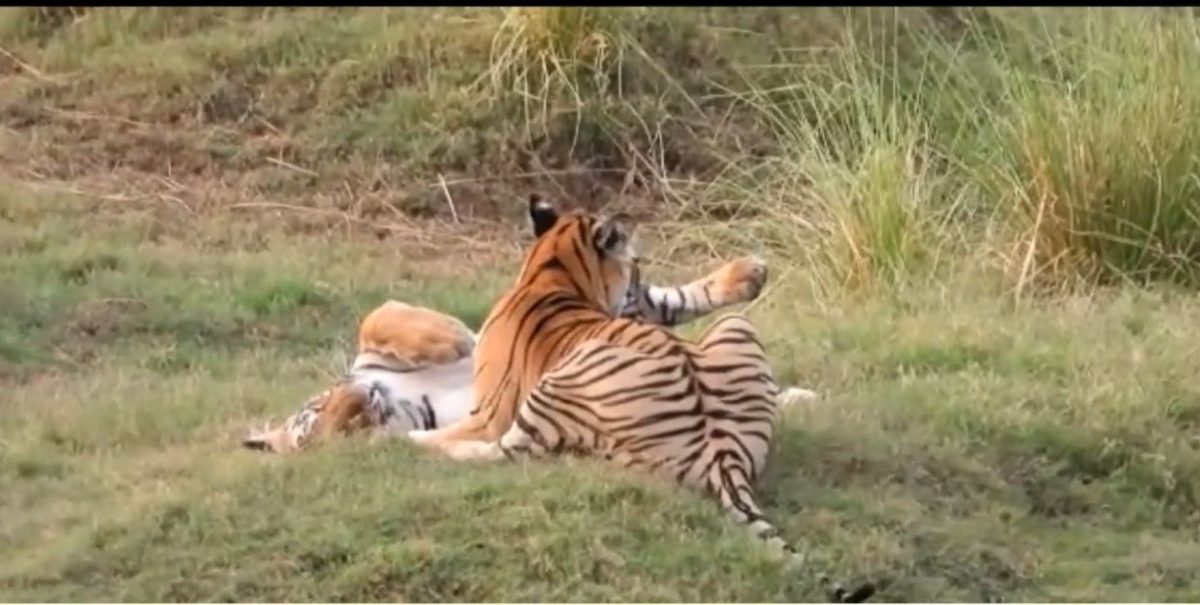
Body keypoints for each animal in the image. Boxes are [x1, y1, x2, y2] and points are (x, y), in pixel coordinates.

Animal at [241, 197, 803, 453]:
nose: (359, 401)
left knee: (655, 298)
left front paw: (450, 338)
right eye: (326, 434)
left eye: (316, 413)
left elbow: (379, 316)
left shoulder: (375, 354)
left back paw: (750, 274)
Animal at [405, 198, 876, 603]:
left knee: (508, 452)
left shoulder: (489, 412)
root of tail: (720, 454)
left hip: (569, 373)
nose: (637, 271)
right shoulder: (637, 310)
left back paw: (411, 442)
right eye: (633, 265)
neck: (551, 272)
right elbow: (672, 299)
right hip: (735, 326)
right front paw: (748, 274)